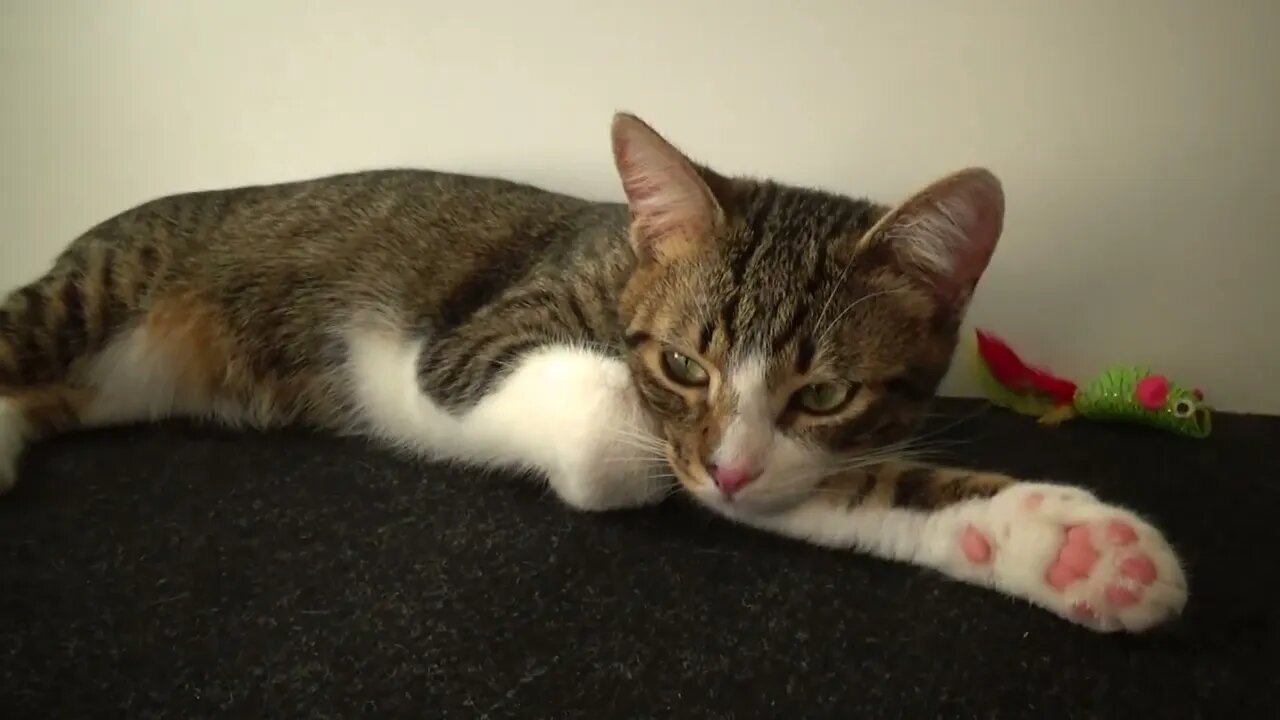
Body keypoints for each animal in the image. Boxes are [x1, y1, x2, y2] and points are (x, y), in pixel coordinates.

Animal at [0, 110, 1187, 627]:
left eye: (825, 392)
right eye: (684, 363)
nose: (727, 468)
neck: (622, 267)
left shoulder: (783, 461)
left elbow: (841, 487)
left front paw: (1065, 547)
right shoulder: (473, 343)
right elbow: (612, 433)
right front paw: (634, 452)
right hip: (92, 292)